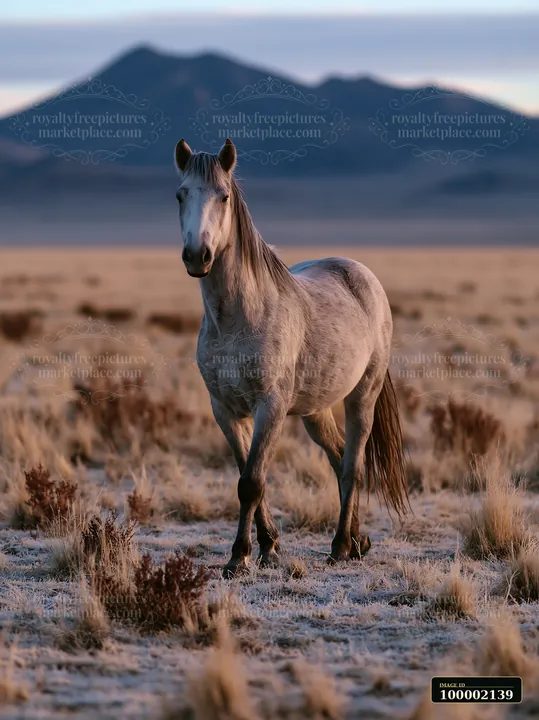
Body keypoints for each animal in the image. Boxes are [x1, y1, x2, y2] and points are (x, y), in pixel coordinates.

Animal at [174, 137, 408, 578]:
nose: (198, 256)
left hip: (362, 397)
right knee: (338, 457)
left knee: (353, 466)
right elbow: (247, 475)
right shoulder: (224, 410)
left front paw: (239, 557)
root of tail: (363, 276)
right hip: (315, 410)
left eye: (224, 196)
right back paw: (359, 541)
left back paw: (340, 546)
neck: (237, 318)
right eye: (180, 194)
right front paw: (268, 547)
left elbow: (252, 481)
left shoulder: (271, 406)